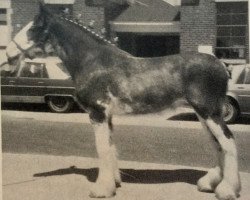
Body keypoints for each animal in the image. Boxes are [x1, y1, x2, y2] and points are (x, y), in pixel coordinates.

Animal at [8, 3, 241, 200]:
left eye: (33, 28)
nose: (9, 53)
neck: (93, 61)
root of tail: (221, 65)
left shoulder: (97, 113)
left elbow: (102, 148)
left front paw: (101, 189)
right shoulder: (107, 116)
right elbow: (110, 147)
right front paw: (114, 183)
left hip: (209, 112)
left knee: (228, 142)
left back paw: (227, 190)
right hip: (204, 115)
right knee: (217, 144)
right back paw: (209, 184)